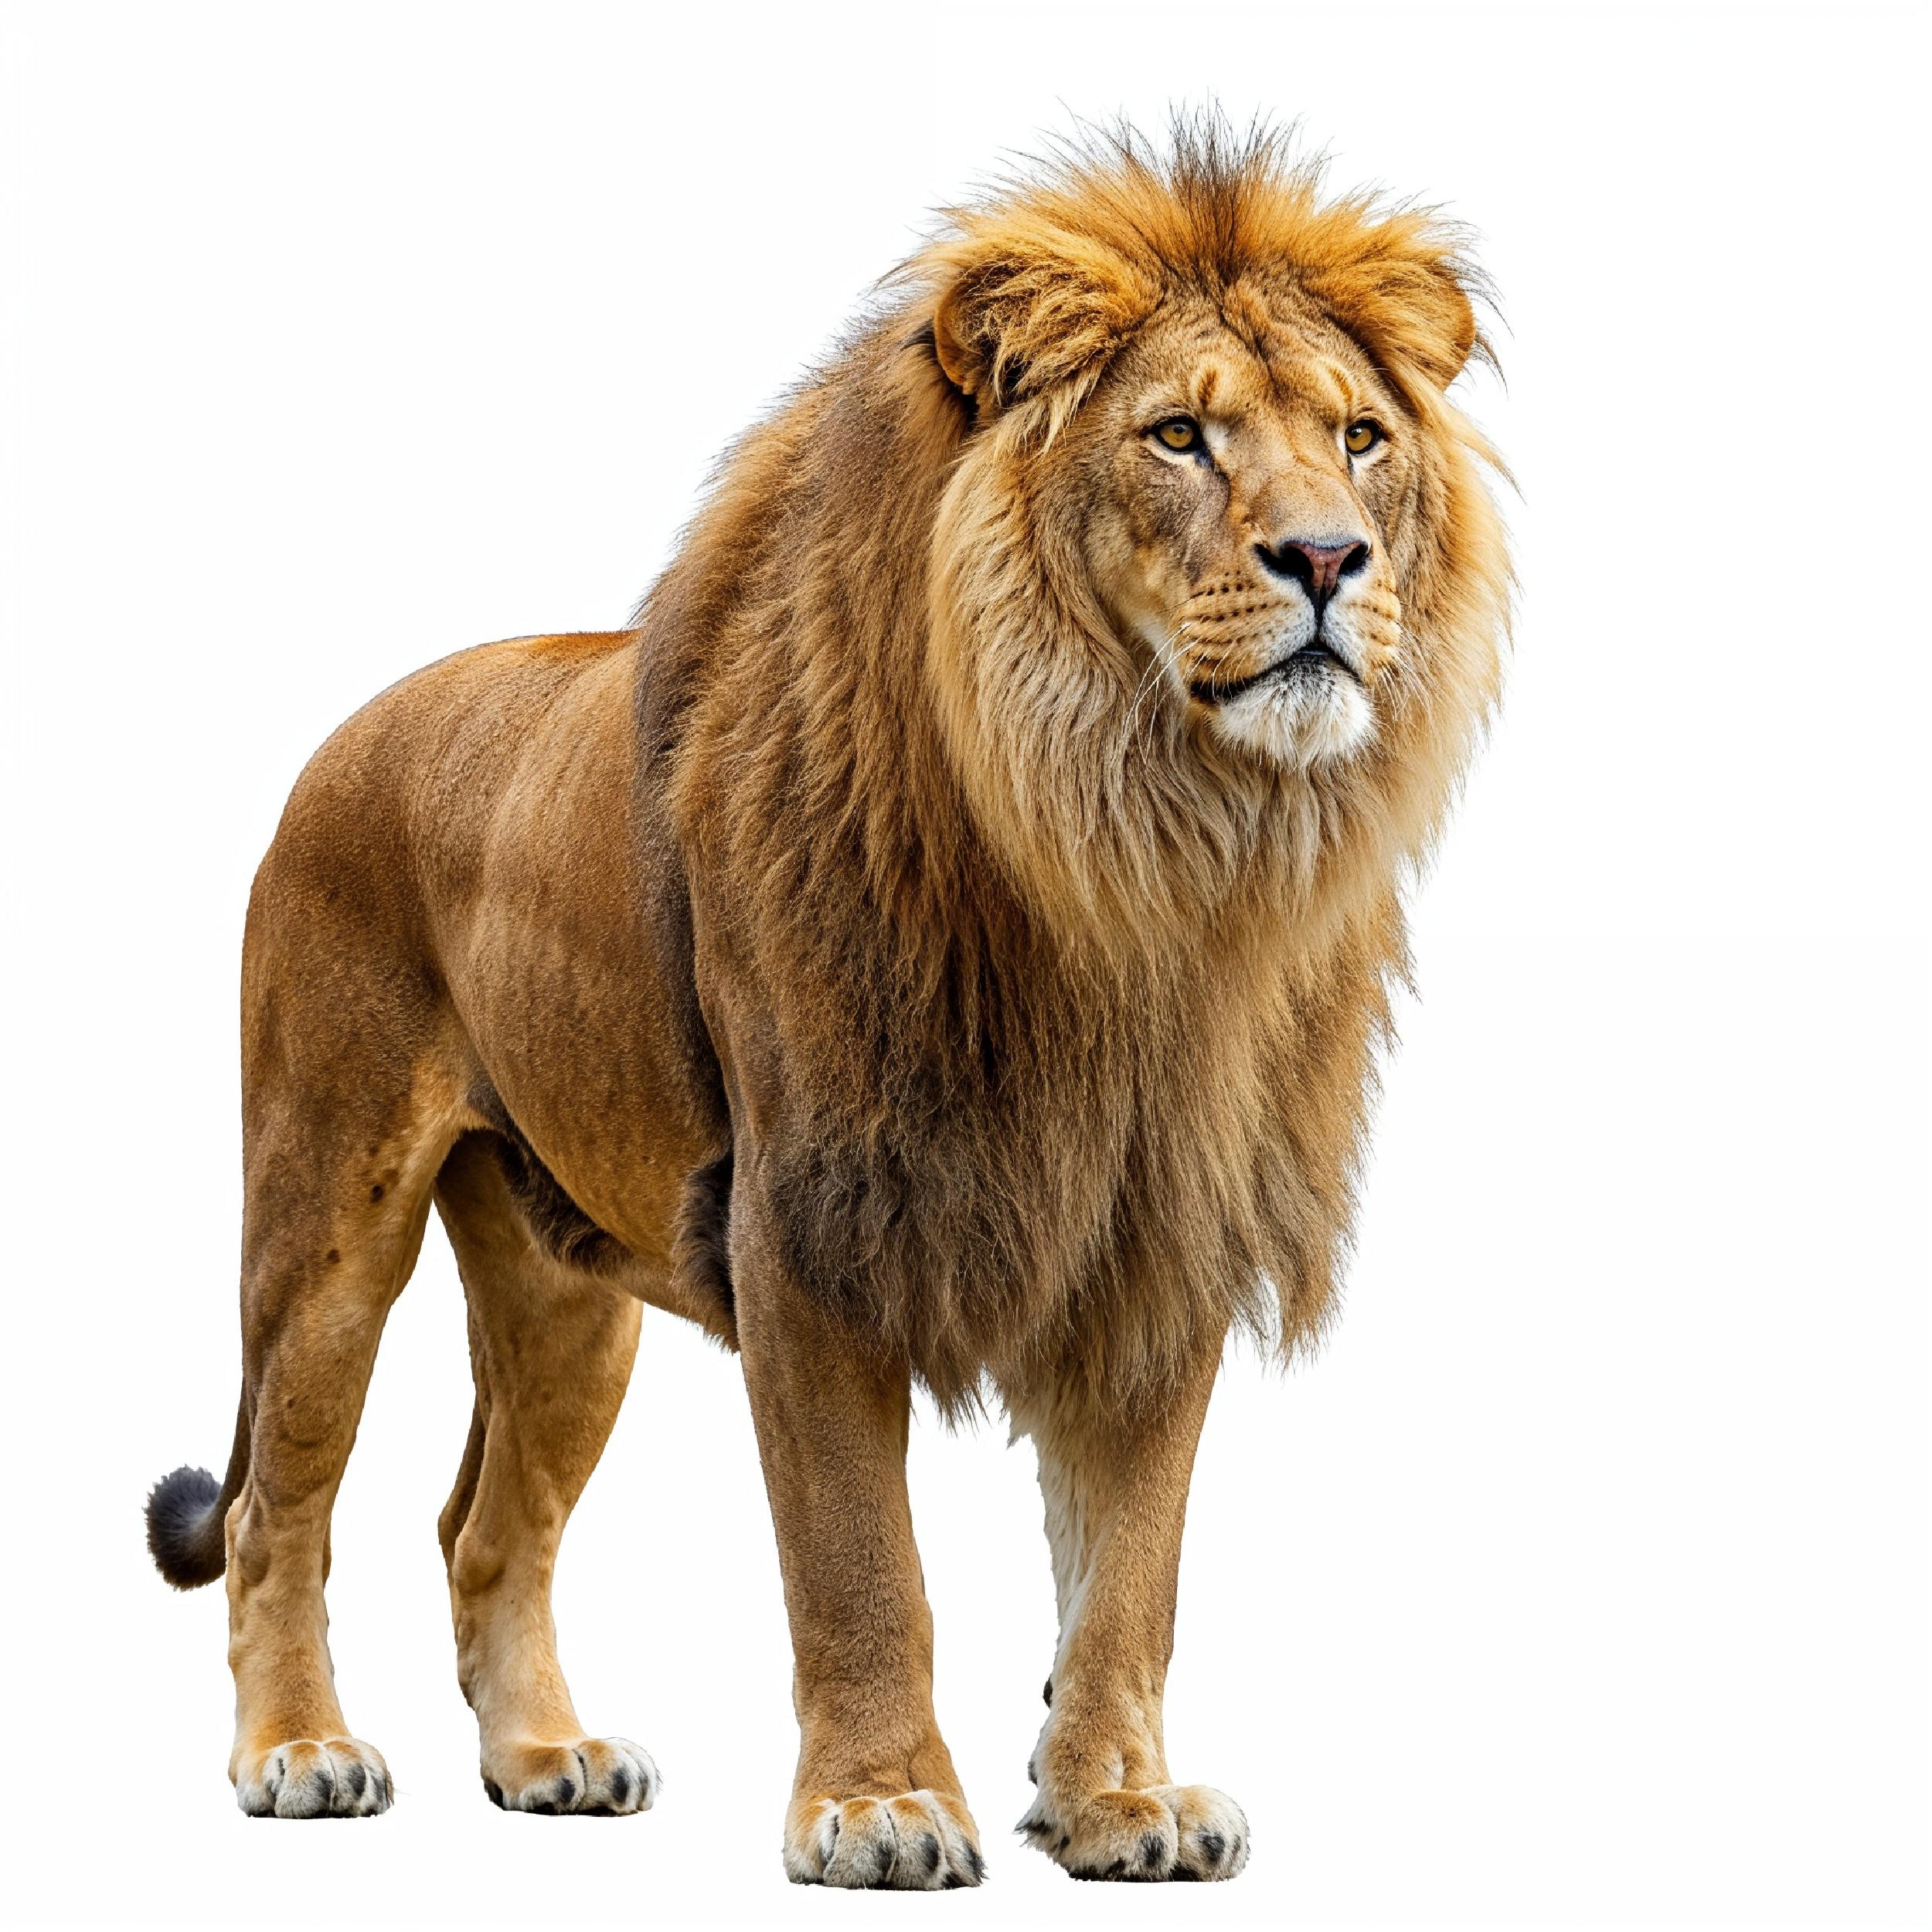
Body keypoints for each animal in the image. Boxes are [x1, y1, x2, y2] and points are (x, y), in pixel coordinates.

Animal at [144, 120, 1510, 1886]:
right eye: (1178, 437)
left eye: (1357, 438)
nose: (1332, 558)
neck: (1135, 848)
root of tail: (350, 728)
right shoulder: (811, 1222)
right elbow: (861, 1561)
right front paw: (878, 1807)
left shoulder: (1160, 1235)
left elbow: (1132, 1570)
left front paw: (1116, 1801)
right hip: (325, 1213)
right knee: (276, 1508)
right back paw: (299, 1750)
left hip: (564, 1285)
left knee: (487, 1523)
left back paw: (546, 1756)